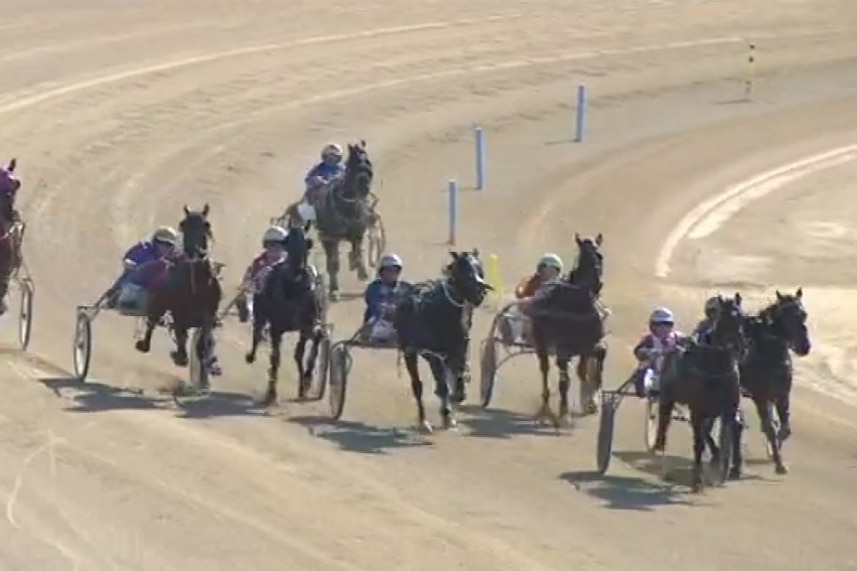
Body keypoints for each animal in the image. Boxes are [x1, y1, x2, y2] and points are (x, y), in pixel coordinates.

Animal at [134, 204, 221, 388]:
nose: (195, 252)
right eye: (183, 224)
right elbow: (181, 335)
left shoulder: (209, 314)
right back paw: (145, 344)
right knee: (152, 322)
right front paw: (180, 356)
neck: (196, 280)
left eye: (206, 224)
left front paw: (208, 367)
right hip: (158, 303)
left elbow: (204, 342)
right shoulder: (179, 313)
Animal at [244, 223, 324, 406]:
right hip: (260, 311)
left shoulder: (307, 324)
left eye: (306, 243)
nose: (299, 270)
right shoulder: (277, 327)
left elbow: (309, 345)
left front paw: (306, 381)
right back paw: (252, 355)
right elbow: (276, 357)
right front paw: (271, 392)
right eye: (288, 242)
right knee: (257, 332)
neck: (294, 287)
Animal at [392, 250, 492, 434]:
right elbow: (443, 385)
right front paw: (446, 413)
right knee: (417, 385)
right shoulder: (433, 354)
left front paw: (452, 407)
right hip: (410, 352)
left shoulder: (460, 350)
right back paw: (424, 421)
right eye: (462, 269)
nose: (479, 293)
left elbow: (457, 381)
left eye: (480, 267)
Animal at [652, 294, 744, 492]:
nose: (739, 347)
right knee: (664, 423)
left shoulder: (727, 410)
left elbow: (725, 438)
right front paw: (697, 481)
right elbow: (698, 444)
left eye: (743, 317)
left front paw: (720, 473)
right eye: (723, 319)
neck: (716, 368)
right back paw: (660, 452)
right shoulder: (697, 410)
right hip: (667, 397)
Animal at [728, 288, 808, 480]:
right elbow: (770, 427)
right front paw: (779, 463)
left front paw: (775, 451)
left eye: (804, 314)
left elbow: (784, 428)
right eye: (786, 315)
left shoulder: (782, 394)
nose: (804, 346)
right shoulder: (760, 396)